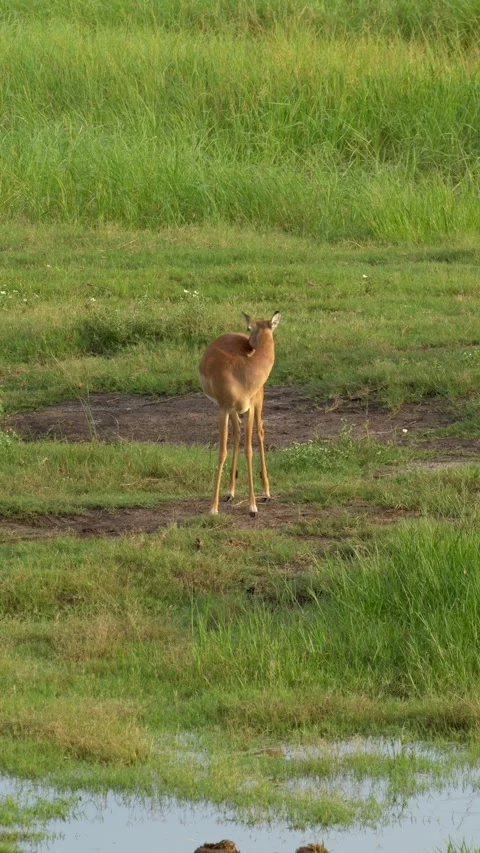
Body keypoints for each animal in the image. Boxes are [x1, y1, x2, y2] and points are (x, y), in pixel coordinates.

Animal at [199, 311, 281, 517]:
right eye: (249, 327)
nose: (249, 344)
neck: (242, 371)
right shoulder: (222, 409)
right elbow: (222, 452)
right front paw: (213, 507)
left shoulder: (249, 409)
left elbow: (249, 451)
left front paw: (253, 507)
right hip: (233, 411)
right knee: (236, 435)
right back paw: (230, 492)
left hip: (257, 403)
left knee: (259, 433)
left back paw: (266, 493)